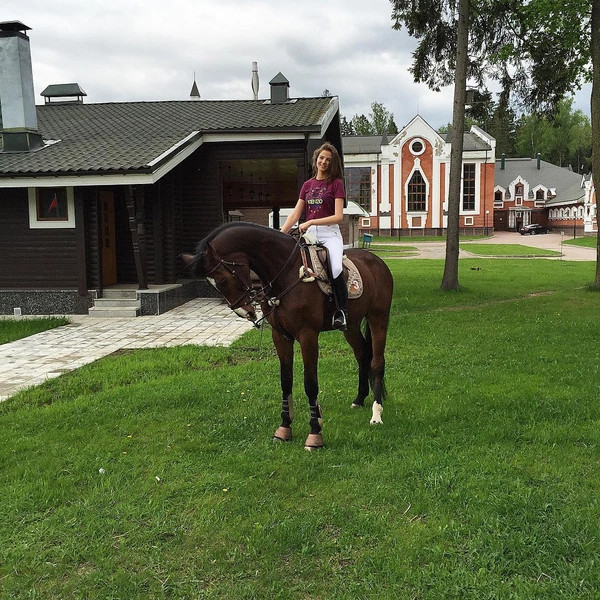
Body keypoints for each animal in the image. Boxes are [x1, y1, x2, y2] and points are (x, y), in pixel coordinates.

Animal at [185, 223, 396, 448]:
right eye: (210, 285)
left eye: (223, 279)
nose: (245, 312)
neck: (286, 274)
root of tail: (377, 261)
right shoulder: (281, 336)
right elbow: (285, 381)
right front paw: (284, 428)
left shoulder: (307, 335)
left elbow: (310, 383)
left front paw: (315, 433)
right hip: (351, 326)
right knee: (362, 355)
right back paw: (359, 399)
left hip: (378, 318)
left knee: (377, 361)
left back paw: (376, 414)